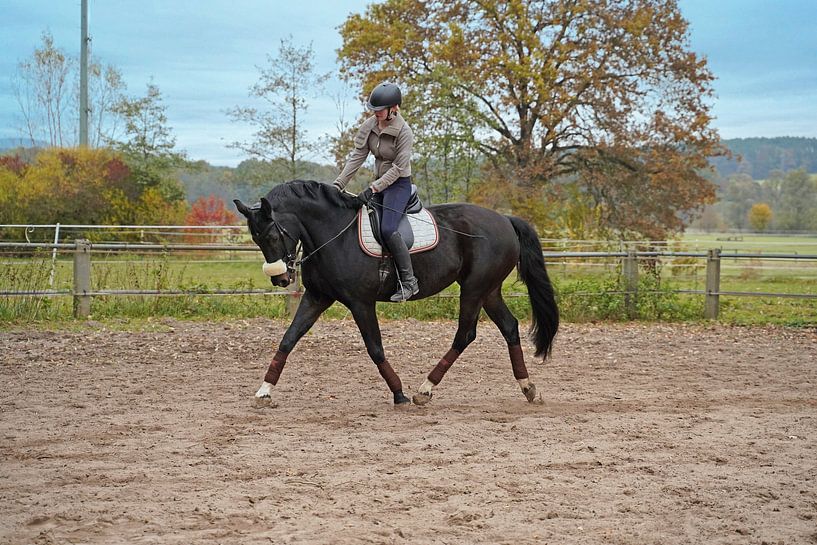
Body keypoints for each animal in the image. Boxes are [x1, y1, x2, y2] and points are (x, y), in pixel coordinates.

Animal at [234, 180, 559, 407]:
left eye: (272, 234)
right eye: (255, 238)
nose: (280, 278)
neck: (333, 233)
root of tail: (505, 219)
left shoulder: (360, 303)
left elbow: (375, 348)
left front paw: (398, 392)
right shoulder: (317, 298)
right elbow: (288, 339)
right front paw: (264, 391)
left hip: (474, 289)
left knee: (465, 335)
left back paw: (425, 390)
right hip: (488, 290)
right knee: (509, 327)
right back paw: (529, 388)